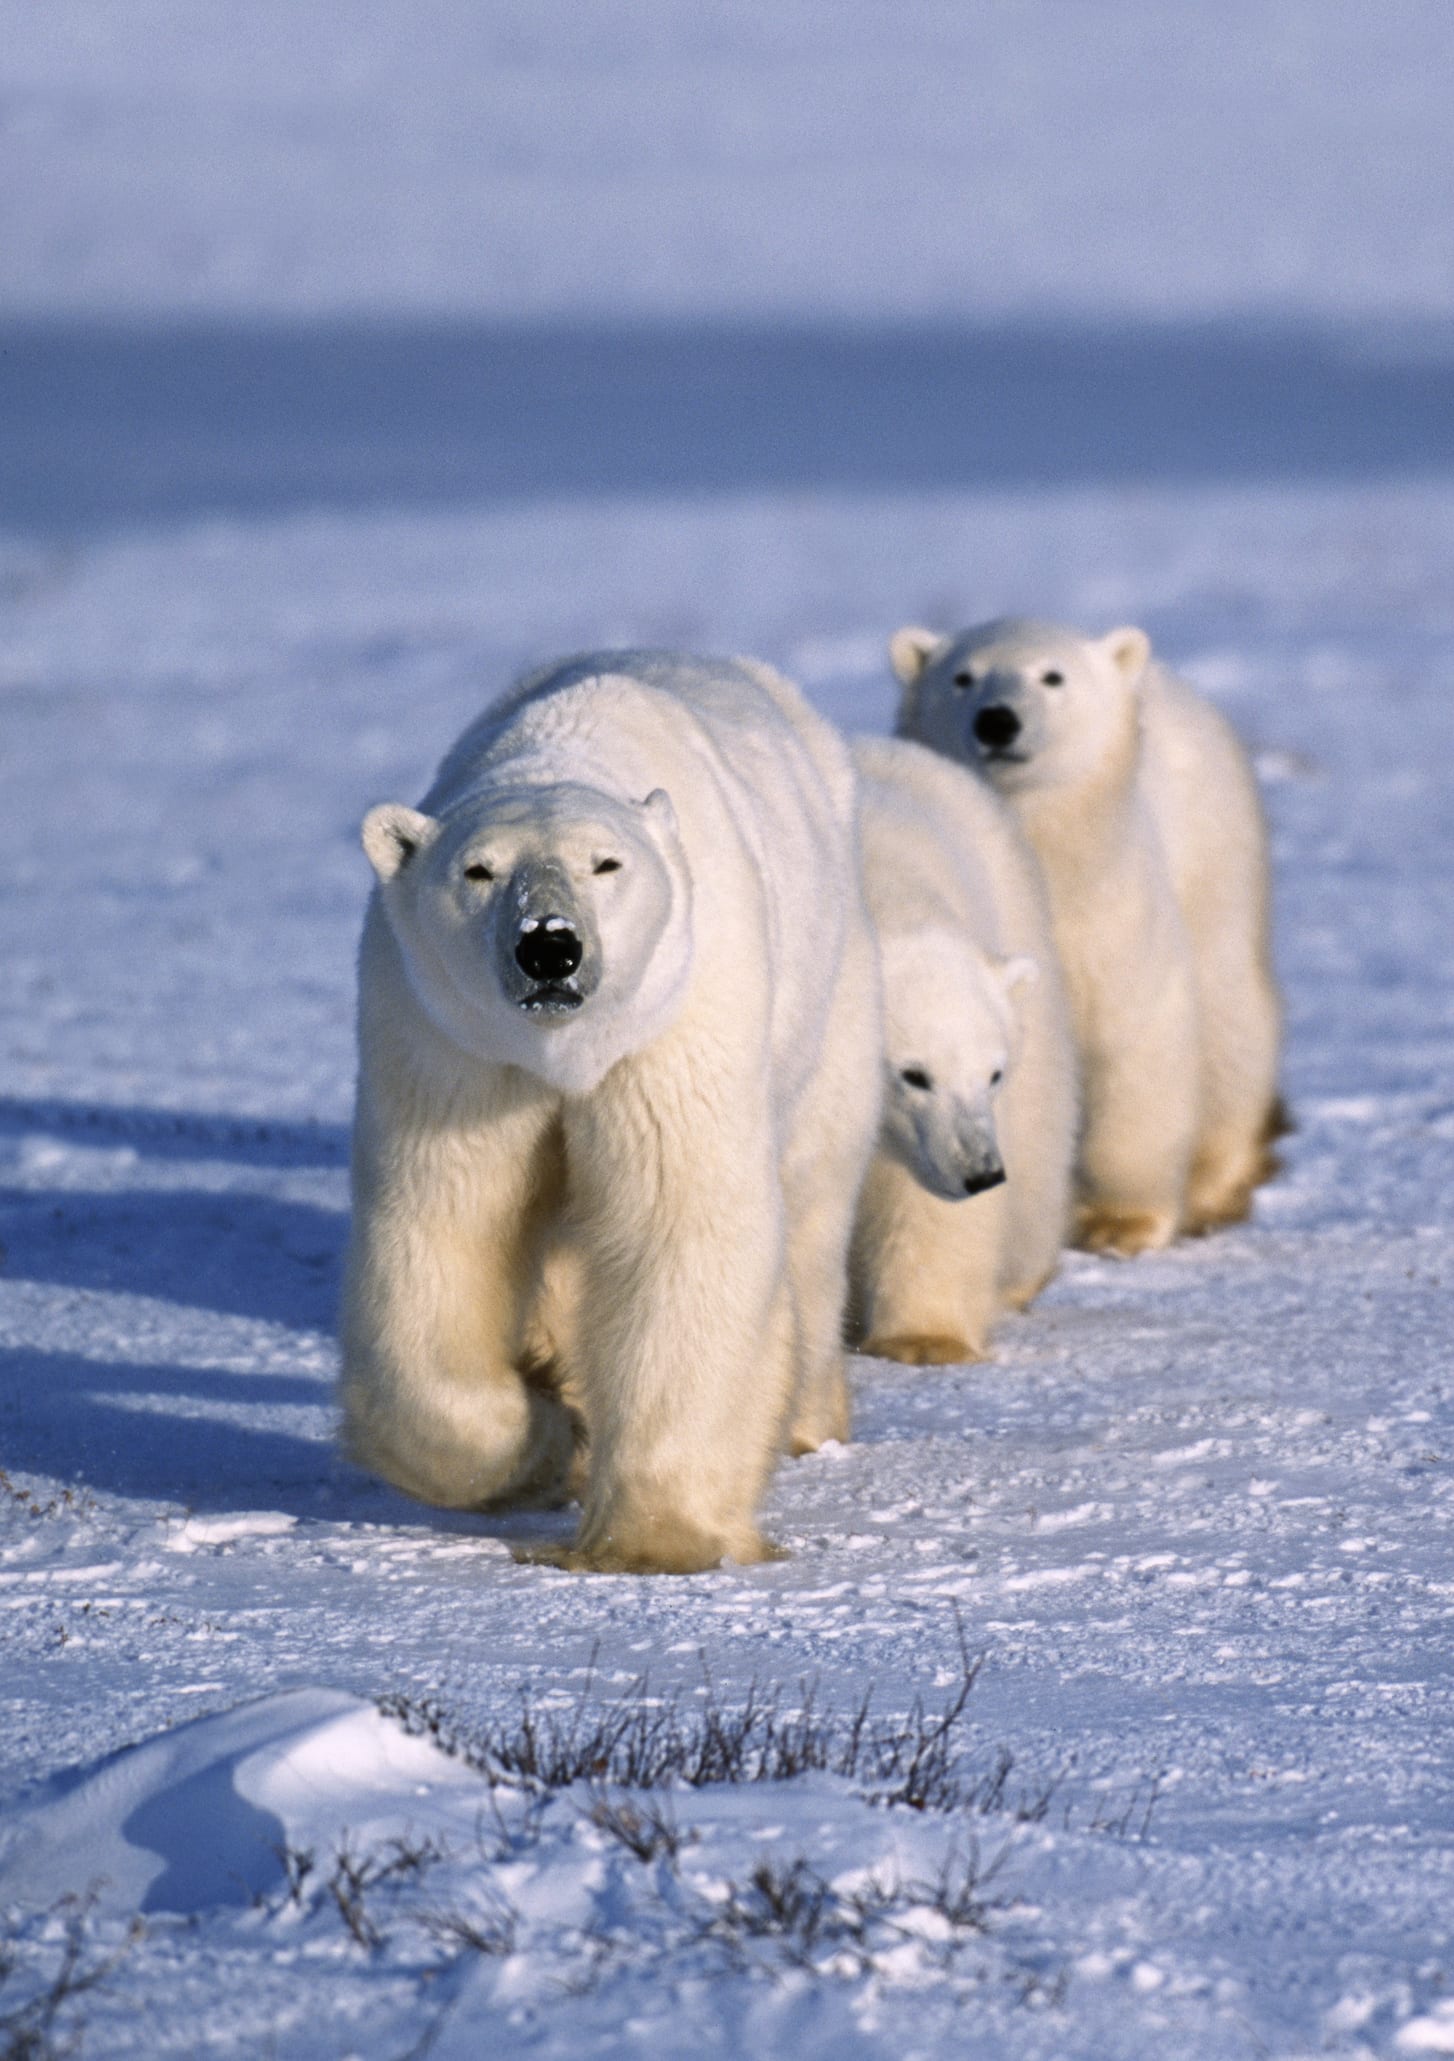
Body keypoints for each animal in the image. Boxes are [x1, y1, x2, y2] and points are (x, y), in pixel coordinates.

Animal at [344, 651, 878, 1566]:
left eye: (606, 865)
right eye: (477, 869)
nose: (549, 945)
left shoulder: (676, 1017)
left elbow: (677, 1226)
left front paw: (653, 1538)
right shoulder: (448, 1046)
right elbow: (443, 1225)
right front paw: (546, 1435)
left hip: (827, 998)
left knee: (810, 1201)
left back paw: (806, 1415)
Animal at [890, 614, 1278, 1253]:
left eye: (1052, 676)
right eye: (962, 676)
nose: (997, 720)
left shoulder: (1111, 924)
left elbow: (1130, 1044)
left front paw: (1118, 1225)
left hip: (1218, 867)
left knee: (1230, 1025)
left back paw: (1212, 1187)